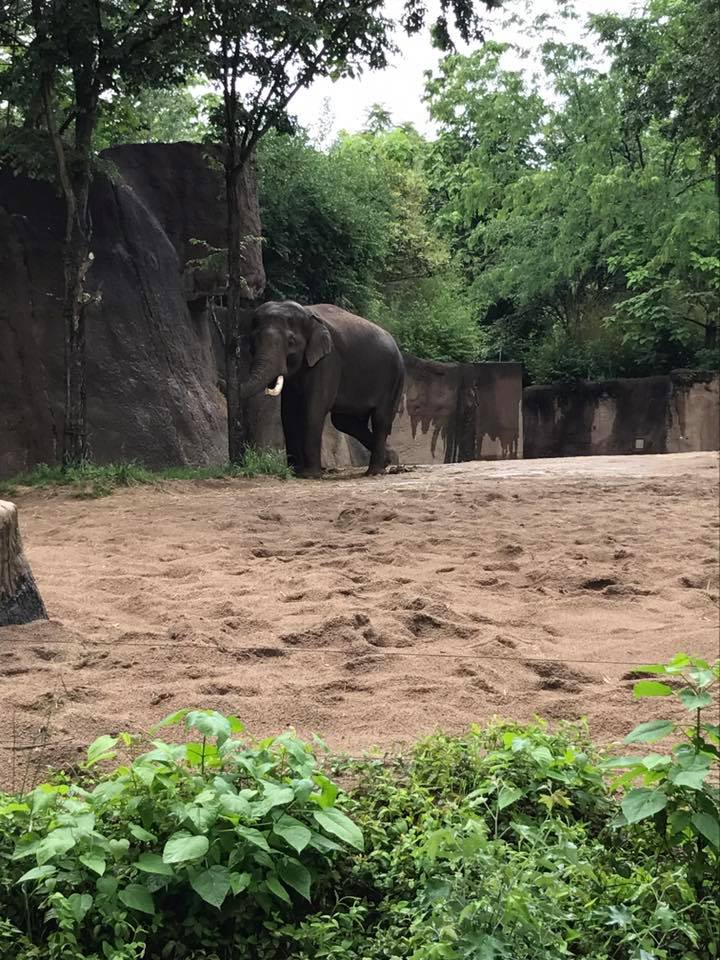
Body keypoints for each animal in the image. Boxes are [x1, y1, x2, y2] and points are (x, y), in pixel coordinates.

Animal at [240, 301, 405, 478]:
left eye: (291, 341)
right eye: (252, 343)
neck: (308, 315)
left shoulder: (328, 361)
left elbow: (314, 409)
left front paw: (310, 475)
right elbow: (288, 412)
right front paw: (295, 472)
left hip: (393, 379)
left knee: (380, 418)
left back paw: (376, 471)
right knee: (344, 422)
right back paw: (389, 459)